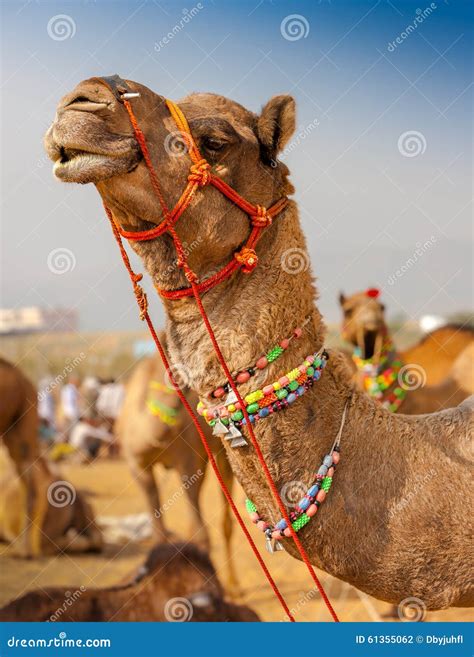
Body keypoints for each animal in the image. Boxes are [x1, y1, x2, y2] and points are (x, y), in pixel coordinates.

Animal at [116, 348, 239, 588]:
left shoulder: (188, 459)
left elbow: (201, 532)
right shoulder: (137, 465)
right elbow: (159, 533)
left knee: (225, 519)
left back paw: (233, 585)